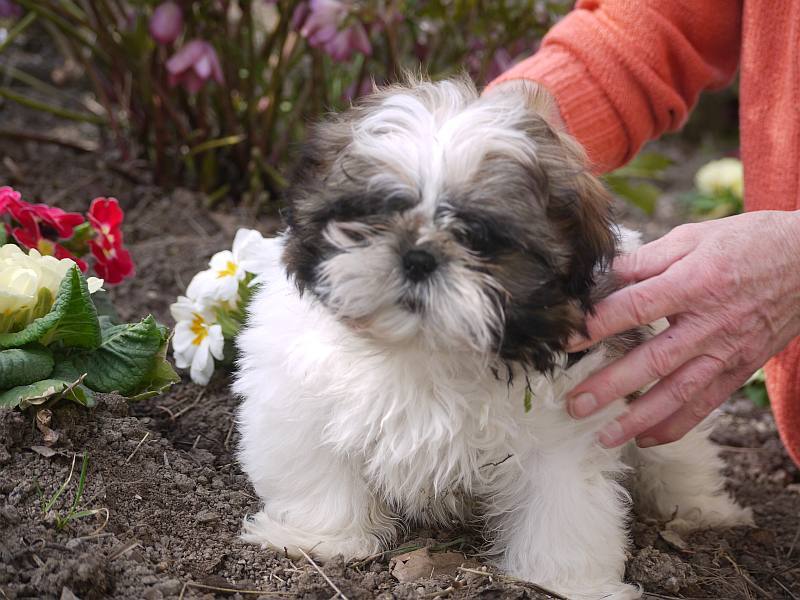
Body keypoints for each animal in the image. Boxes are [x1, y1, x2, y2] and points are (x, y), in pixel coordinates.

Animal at [231, 77, 752, 596]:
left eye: (479, 238)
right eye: (373, 214)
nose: (417, 256)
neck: (425, 349)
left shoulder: (565, 429)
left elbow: (564, 505)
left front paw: (570, 581)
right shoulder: (297, 398)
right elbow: (317, 470)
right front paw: (319, 539)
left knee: (677, 455)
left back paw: (703, 508)